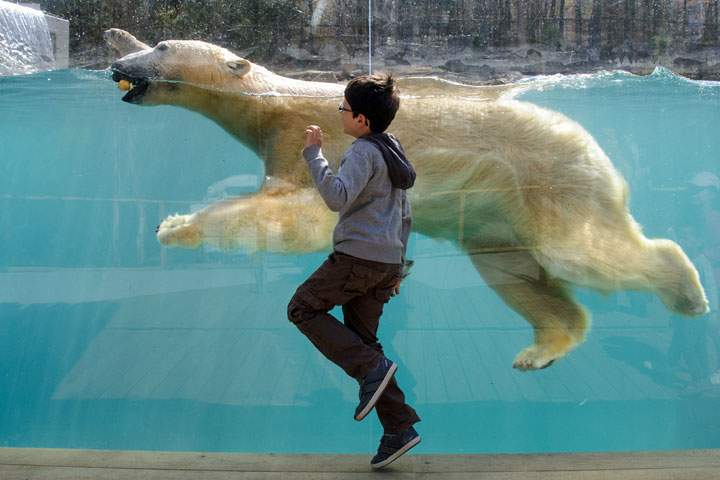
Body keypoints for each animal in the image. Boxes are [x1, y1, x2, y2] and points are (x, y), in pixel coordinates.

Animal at [109, 34, 709, 371]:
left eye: (161, 48)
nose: (119, 64)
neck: (272, 99)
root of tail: (591, 146)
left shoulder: (311, 136)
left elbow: (301, 215)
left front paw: (174, 224)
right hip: (494, 216)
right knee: (512, 270)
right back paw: (539, 351)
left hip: (550, 183)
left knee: (587, 254)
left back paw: (688, 292)